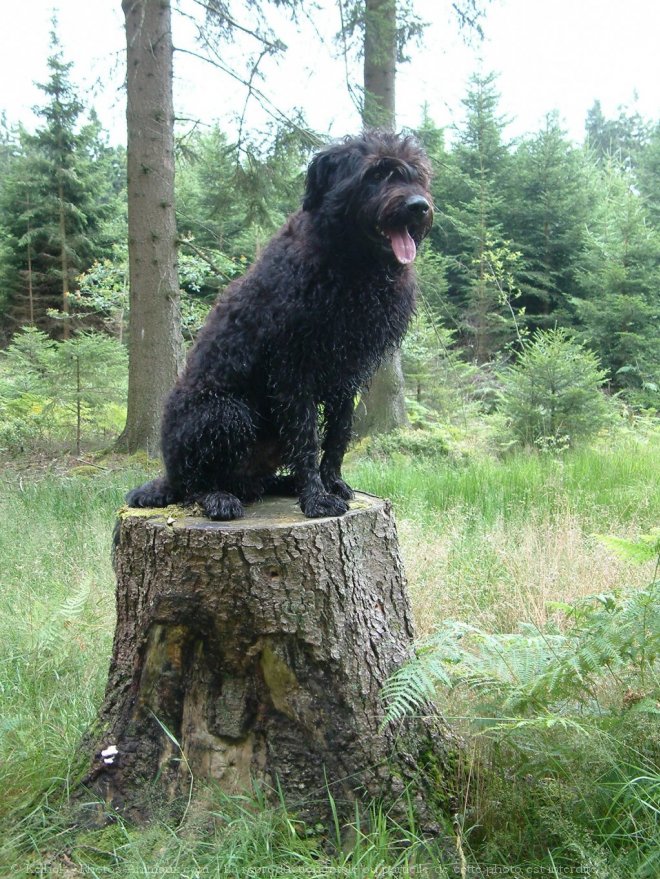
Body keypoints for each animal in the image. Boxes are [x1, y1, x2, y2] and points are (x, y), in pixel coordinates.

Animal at [127, 129, 434, 516]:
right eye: (376, 173)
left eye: (416, 175)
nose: (419, 207)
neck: (349, 263)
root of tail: (168, 473)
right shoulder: (294, 370)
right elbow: (307, 438)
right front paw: (317, 498)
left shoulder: (347, 374)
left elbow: (337, 434)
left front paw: (332, 482)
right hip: (224, 412)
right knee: (195, 485)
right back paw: (219, 498)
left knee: (251, 482)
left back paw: (283, 484)